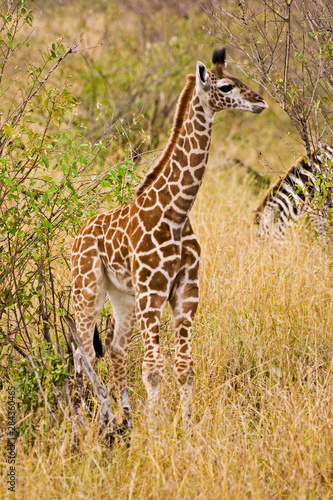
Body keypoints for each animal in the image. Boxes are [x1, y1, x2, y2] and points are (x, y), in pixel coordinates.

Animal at [70, 48, 268, 428]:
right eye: (225, 86)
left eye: (238, 80)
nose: (260, 102)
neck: (176, 212)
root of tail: (77, 237)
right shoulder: (153, 291)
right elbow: (152, 368)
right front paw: (155, 429)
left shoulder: (186, 293)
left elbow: (185, 366)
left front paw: (186, 426)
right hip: (87, 289)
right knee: (82, 350)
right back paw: (90, 418)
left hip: (122, 296)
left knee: (114, 347)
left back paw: (123, 419)